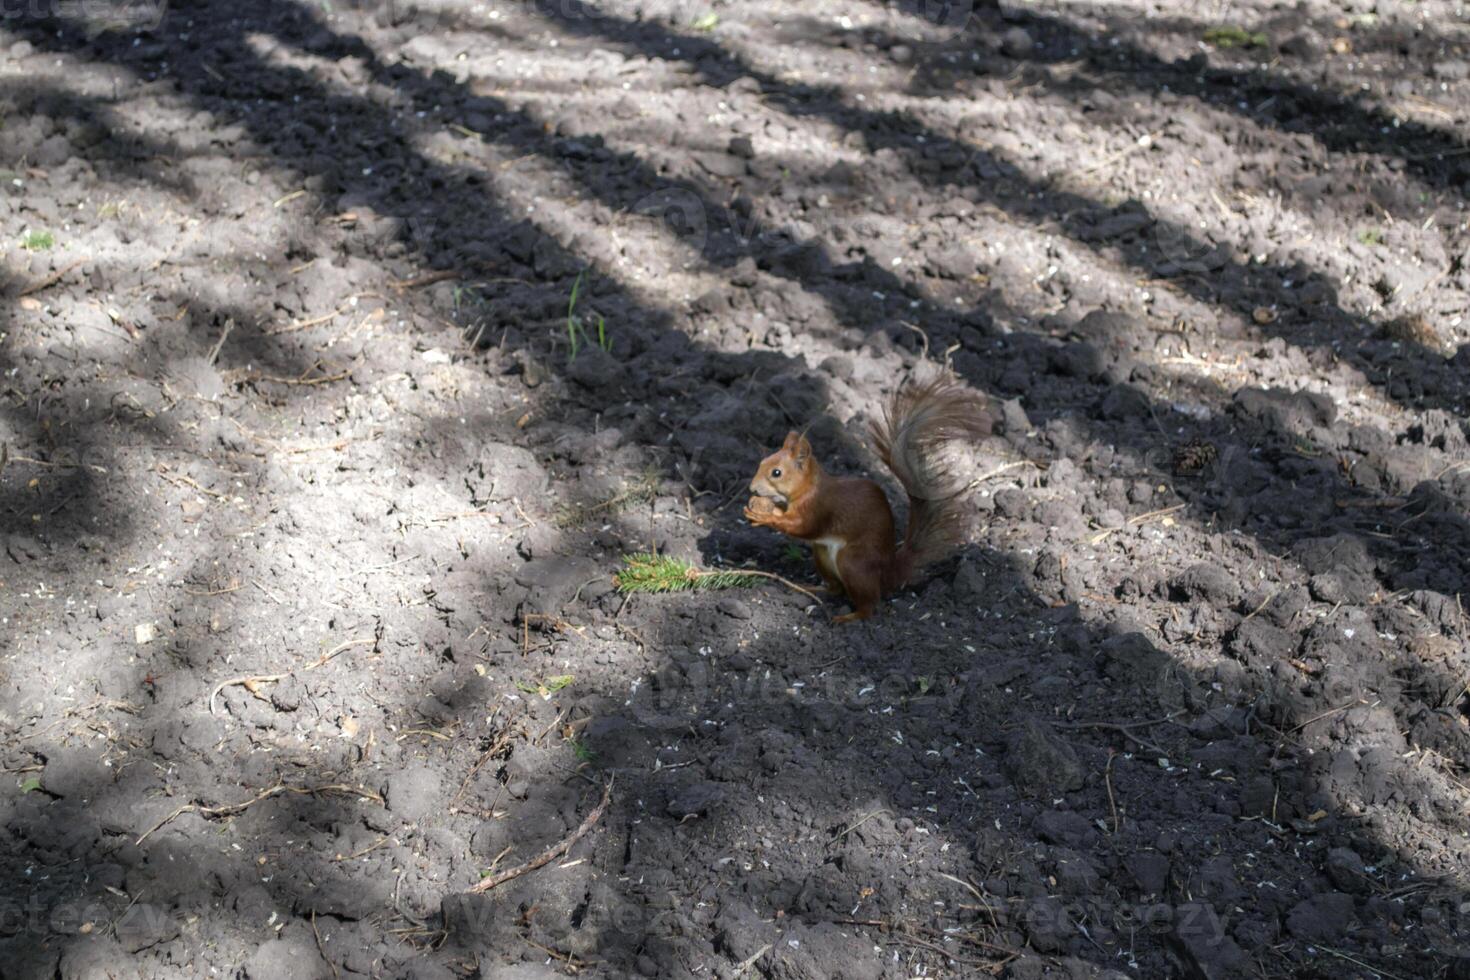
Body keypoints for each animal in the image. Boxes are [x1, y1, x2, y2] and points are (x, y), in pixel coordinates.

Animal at [740, 376, 993, 620]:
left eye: (776, 473)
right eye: (762, 463)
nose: (752, 488)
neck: (807, 488)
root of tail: (888, 573)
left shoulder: (818, 508)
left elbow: (802, 527)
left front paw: (763, 516)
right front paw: (760, 510)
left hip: (852, 563)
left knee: (869, 605)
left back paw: (848, 617)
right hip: (821, 554)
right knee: (836, 589)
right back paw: (812, 589)